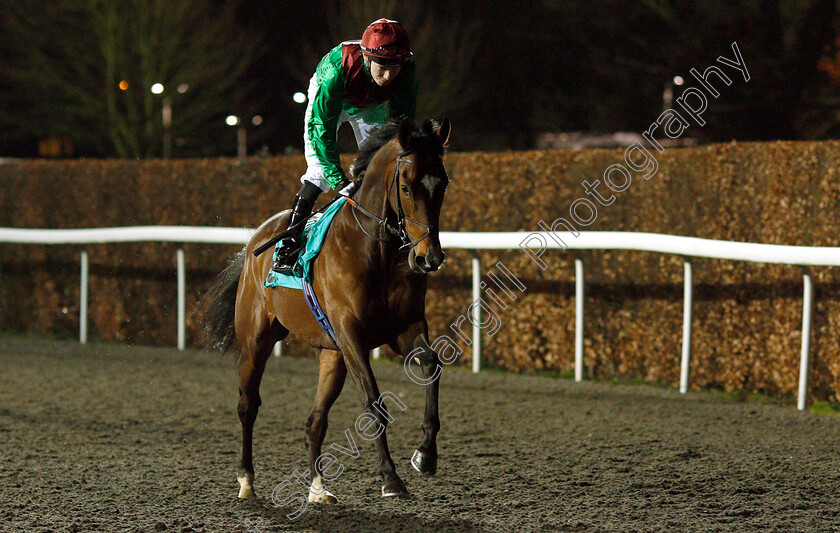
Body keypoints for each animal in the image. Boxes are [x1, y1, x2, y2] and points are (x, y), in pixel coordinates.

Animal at [203, 118, 450, 504]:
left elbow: (431, 364)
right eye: (406, 187)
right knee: (248, 404)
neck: (375, 252)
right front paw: (390, 478)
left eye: (443, 184)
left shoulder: (404, 326)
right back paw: (246, 479)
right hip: (256, 340)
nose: (429, 257)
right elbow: (373, 400)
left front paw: (425, 454)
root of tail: (253, 243)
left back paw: (318, 488)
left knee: (314, 421)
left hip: (332, 355)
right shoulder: (351, 335)